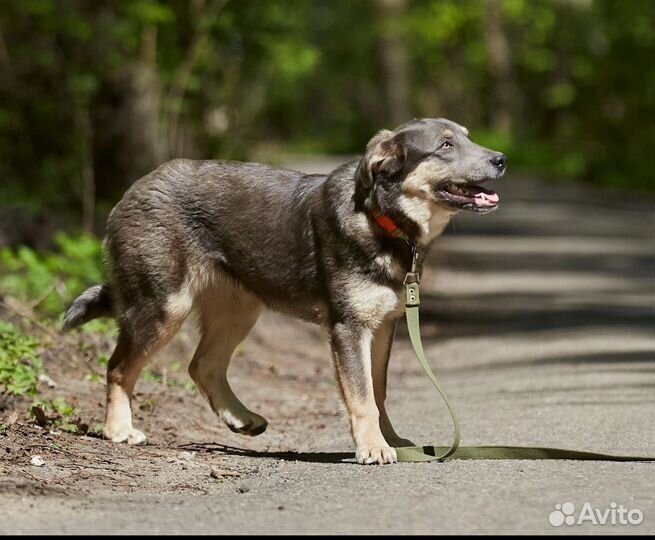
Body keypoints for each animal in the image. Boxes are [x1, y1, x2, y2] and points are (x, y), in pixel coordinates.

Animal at [64, 118, 504, 464]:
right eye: (445, 146)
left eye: (467, 137)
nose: (501, 159)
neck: (383, 219)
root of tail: (131, 192)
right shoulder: (349, 328)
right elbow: (362, 397)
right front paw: (373, 447)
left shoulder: (382, 327)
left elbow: (378, 393)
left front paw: (390, 440)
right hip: (163, 306)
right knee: (119, 368)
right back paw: (119, 430)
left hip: (239, 310)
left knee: (203, 365)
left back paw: (241, 418)